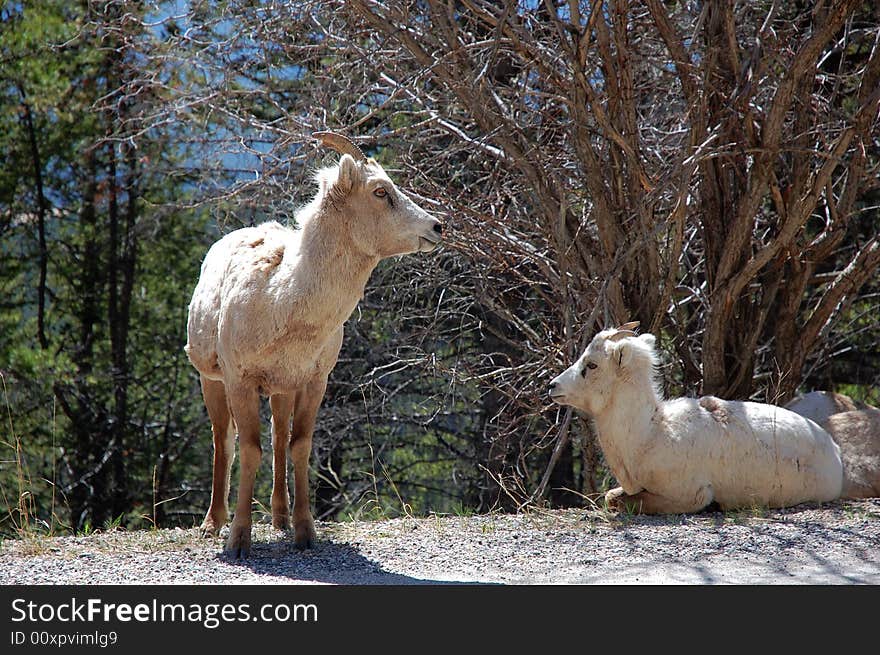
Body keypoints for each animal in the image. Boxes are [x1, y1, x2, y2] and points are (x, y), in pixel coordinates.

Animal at [188, 133, 444, 560]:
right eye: (380, 191)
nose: (437, 227)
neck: (282, 304)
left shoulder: (313, 381)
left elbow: (300, 446)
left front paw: (304, 533)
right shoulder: (240, 380)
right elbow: (250, 448)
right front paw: (239, 541)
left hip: (280, 390)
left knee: (278, 435)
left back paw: (279, 519)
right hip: (211, 378)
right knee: (223, 439)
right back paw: (212, 524)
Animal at [552, 326, 844, 516]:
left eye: (591, 365)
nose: (553, 386)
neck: (650, 434)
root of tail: (834, 451)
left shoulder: (688, 496)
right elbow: (611, 496)